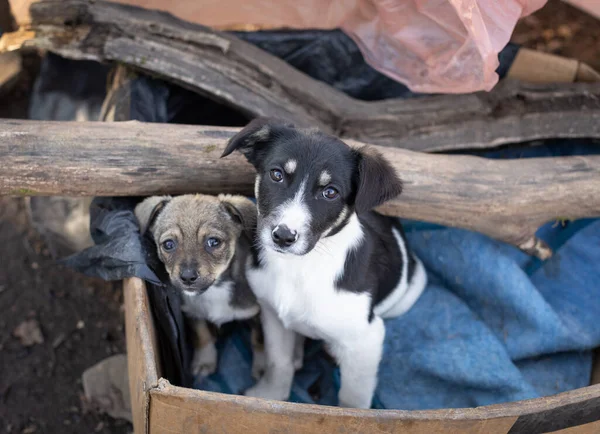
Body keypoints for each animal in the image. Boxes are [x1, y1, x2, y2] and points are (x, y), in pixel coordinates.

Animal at [137, 194, 262, 376]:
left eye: (214, 242)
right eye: (168, 244)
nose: (187, 277)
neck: (215, 290)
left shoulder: (257, 312)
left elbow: (259, 338)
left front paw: (264, 368)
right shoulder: (192, 313)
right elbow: (202, 335)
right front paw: (205, 360)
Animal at [221, 117, 426, 408]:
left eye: (330, 192)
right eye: (276, 175)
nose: (283, 236)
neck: (301, 267)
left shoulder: (367, 339)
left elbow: (353, 397)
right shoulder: (272, 313)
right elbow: (278, 361)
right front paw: (270, 396)